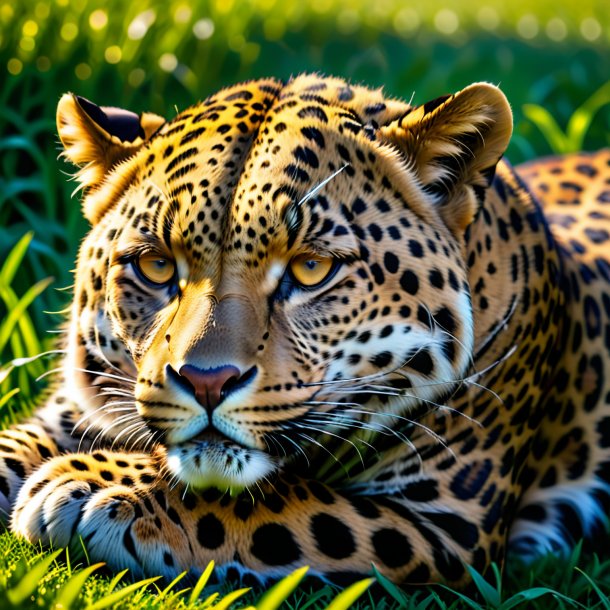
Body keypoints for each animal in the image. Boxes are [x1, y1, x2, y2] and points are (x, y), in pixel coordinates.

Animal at [1, 73, 608, 588]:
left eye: (311, 268)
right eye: (155, 266)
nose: (206, 382)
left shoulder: (446, 525)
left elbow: (270, 496)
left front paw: (99, 483)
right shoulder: (72, 410)